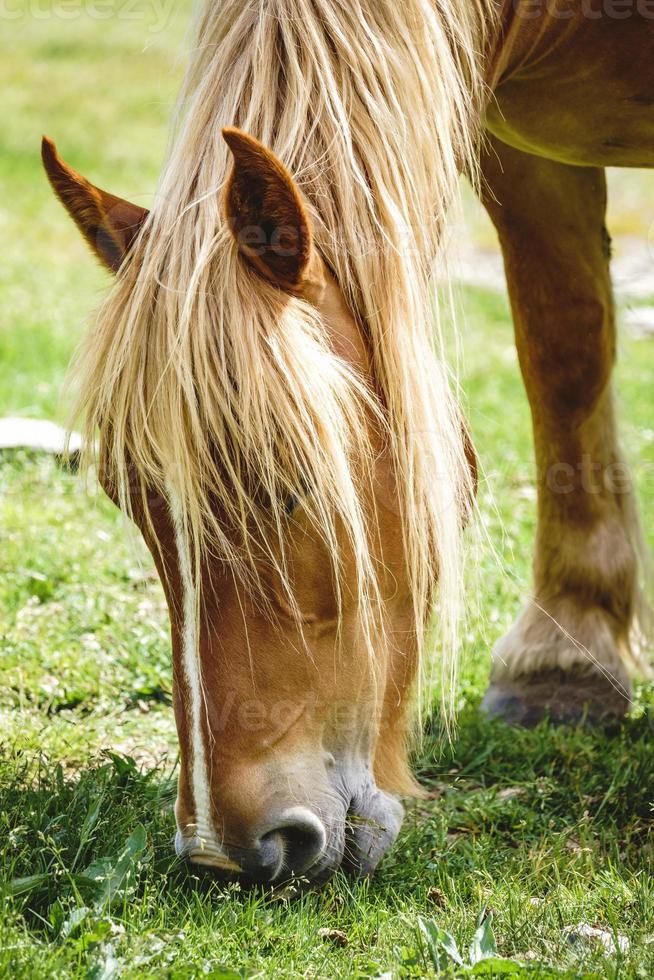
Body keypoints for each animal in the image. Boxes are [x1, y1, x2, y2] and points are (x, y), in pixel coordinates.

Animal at [43, 0, 652, 884]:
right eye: (131, 501)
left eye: (293, 486)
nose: (225, 851)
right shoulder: (516, 148)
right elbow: (563, 344)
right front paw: (567, 661)